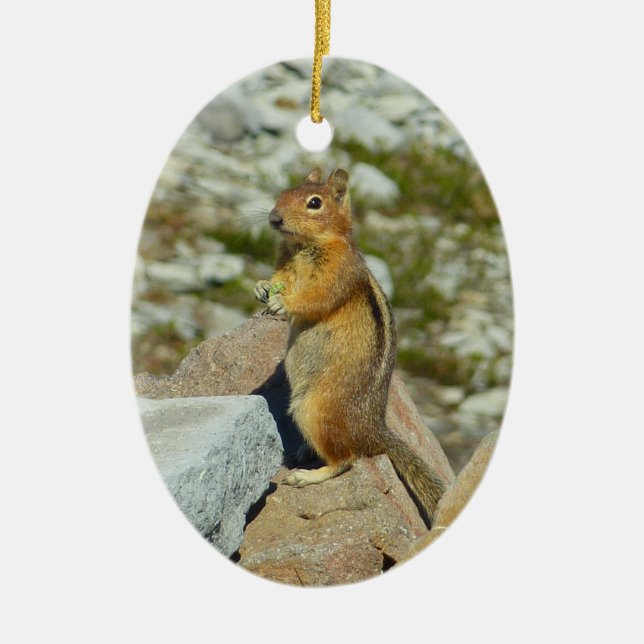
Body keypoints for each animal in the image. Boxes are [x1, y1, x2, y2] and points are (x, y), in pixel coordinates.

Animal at [254, 168, 446, 523]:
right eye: (284, 192)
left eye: (314, 203)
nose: (274, 218)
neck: (305, 246)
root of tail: (374, 432)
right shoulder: (285, 266)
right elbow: (278, 278)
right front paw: (262, 286)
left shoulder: (335, 273)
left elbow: (315, 298)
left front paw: (282, 304)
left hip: (313, 408)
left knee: (347, 460)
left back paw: (306, 476)